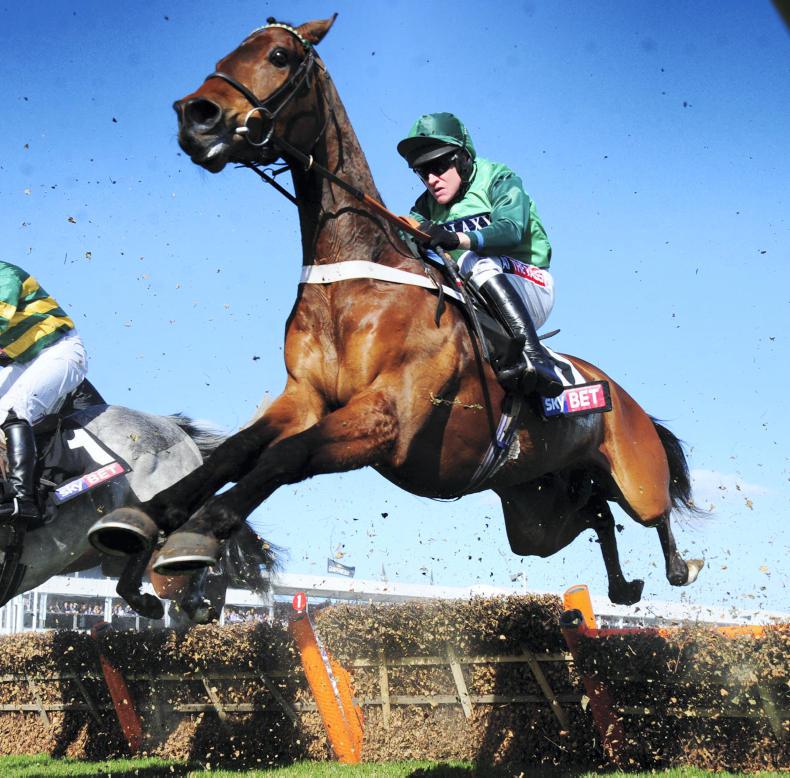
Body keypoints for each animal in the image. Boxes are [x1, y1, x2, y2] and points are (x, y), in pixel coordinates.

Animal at [93, 15, 703, 606]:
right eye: (222, 56)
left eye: (279, 56)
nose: (197, 115)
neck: (352, 278)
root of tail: (622, 396)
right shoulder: (304, 397)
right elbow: (235, 450)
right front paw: (146, 519)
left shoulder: (387, 416)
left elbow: (286, 455)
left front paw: (199, 531)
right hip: (536, 509)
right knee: (595, 511)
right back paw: (623, 586)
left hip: (635, 476)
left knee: (650, 513)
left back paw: (680, 567)